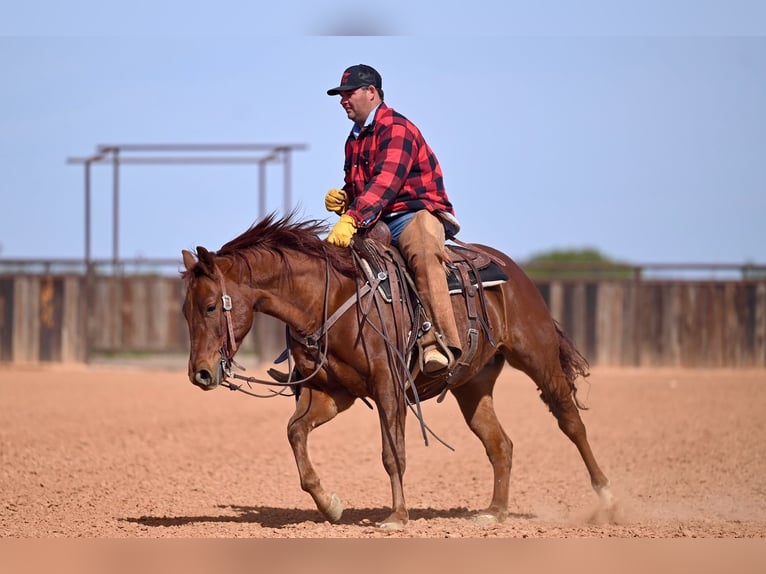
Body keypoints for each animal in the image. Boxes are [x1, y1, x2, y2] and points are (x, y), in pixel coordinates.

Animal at [181, 212, 614, 530]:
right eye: (185, 310)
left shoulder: (389, 386)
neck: (330, 297)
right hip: (473, 385)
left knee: (570, 421)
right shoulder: (332, 393)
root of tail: (514, 271)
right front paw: (330, 504)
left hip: (538, 357)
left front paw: (397, 516)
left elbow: (393, 454)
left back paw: (607, 498)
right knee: (500, 444)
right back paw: (494, 512)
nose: (199, 373)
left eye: (210, 306)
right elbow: (295, 432)